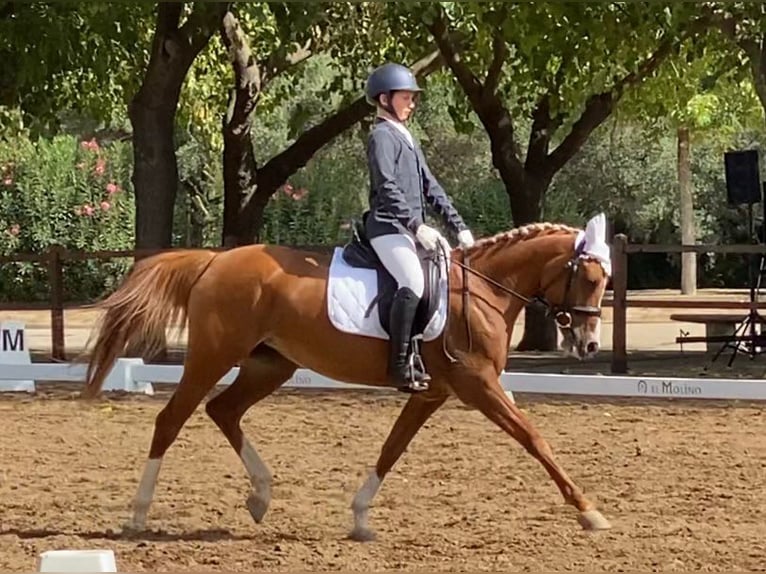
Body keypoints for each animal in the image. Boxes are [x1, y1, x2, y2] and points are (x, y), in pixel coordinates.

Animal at [81, 215, 616, 544]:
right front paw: (589, 511)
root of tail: (216, 259)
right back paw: (138, 513)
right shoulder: (477, 386)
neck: (483, 291)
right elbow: (534, 438)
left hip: (269, 364)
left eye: (605, 281)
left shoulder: (433, 392)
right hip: (213, 357)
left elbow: (392, 447)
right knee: (172, 420)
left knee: (223, 410)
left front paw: (360, 518)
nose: (589, 345)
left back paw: (260, 495)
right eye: (590, 279)